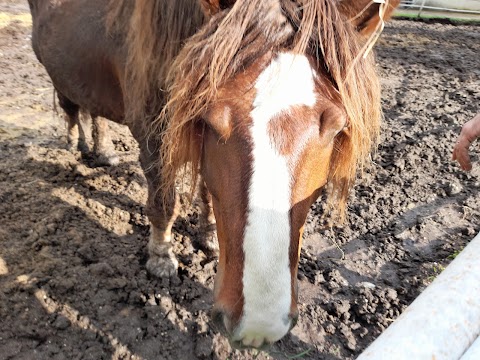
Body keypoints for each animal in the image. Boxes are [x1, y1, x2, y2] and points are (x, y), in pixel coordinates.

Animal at [28, 0, 400, 350]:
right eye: (209, 117)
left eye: (336, 126)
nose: (258, 325)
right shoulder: (153, 135)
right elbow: (164, 202)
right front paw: (161, 257)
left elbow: (207, 191)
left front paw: (207, 234)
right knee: (71, 107)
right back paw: (75, 143)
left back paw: (102, 150)